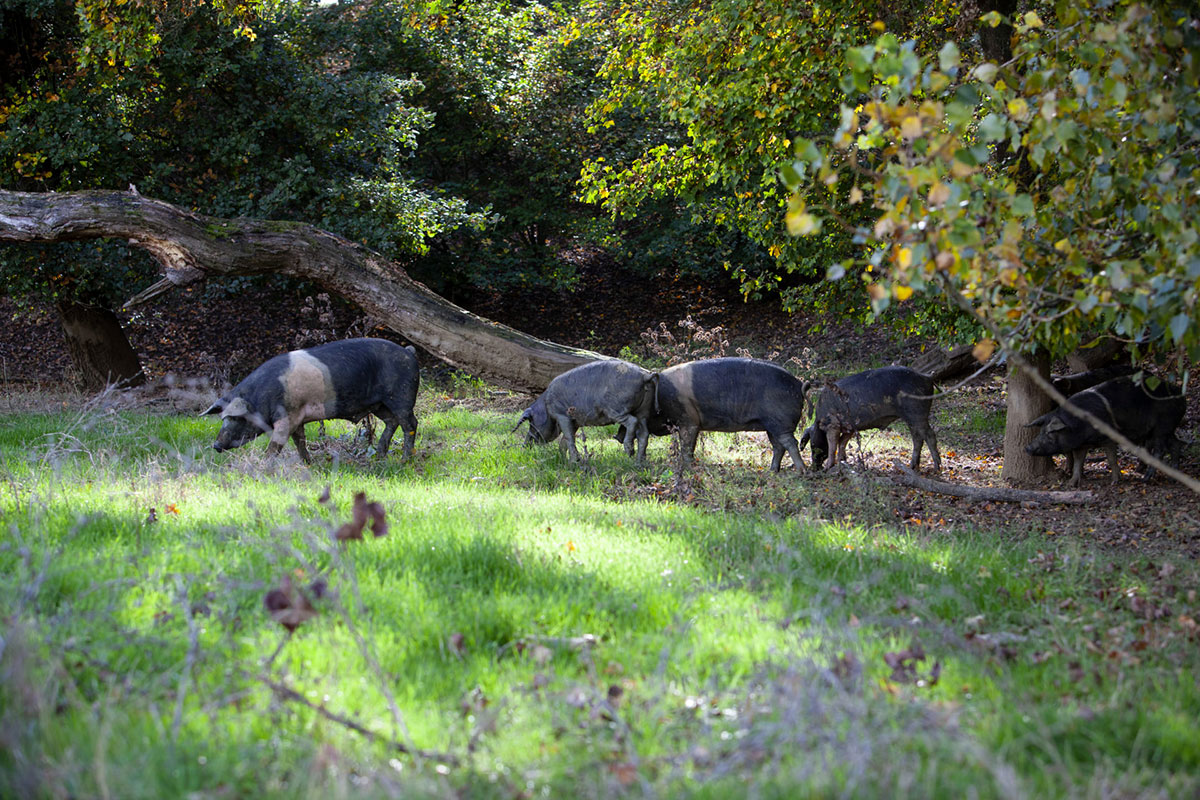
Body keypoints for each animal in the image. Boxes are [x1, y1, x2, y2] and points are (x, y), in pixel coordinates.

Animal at [201, 335, 417, 462]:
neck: (260, 398)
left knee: (410, 424)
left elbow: (277, 444)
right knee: (391, 421)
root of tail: (408, 352)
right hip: (379, 404)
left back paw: (404, 460)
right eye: (223, 418)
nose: (216, 445)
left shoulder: (288, 415)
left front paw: (264, 465)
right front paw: (308, 464)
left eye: (236, 418)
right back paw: (379, 456)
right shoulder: (298, 418)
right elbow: (300, 442)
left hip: (401, 396)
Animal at [508, 362, 657, 465]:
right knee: (644, 433)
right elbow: (565, 440)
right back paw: (639, 462)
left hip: (616, 409)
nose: (524, 447)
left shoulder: (562, 415)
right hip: (643, 411)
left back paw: (629, 451)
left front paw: (574, 461)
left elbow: (569, 438)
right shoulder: (575, 421)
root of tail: (645, 375)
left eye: (531, 422)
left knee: (632, 422)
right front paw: (564, 459)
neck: (546, 406)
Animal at [619, 357, 806, 474]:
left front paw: (688, 468)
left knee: (790, 443)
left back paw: (800, 472)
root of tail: (799, 384)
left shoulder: (688, 421)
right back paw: (772, 472)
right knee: (778, 446)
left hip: (780, 422)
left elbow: (687, 446)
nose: (617, 436)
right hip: (771, 426)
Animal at [801, 367, 940, 472]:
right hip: (911, 418)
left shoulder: (832, 424)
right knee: (917, 438)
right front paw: (843, 461)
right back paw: (912, 467)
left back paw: (937, 468)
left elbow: (832, 445)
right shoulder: (849, 427)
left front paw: (828, 467)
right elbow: (842, 442)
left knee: (929, 435)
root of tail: (927, 377)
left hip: (917, 413)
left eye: (812, 445)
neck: (819, 421)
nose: (814, 468)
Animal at [1027, 376, 1185, 489]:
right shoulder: (1082, 444)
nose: (1027, 447)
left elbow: (1111, 459)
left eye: (1049, 433)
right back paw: (1172, 477)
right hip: (1167, 429)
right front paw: (1071, 484)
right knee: (1176, 444)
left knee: (1160, 450)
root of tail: (1182, 396)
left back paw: (1145, 479)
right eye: (1041, 431)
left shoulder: (1108, 438)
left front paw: (1115, 482)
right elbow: (1079, 461)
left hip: (1162, 427)